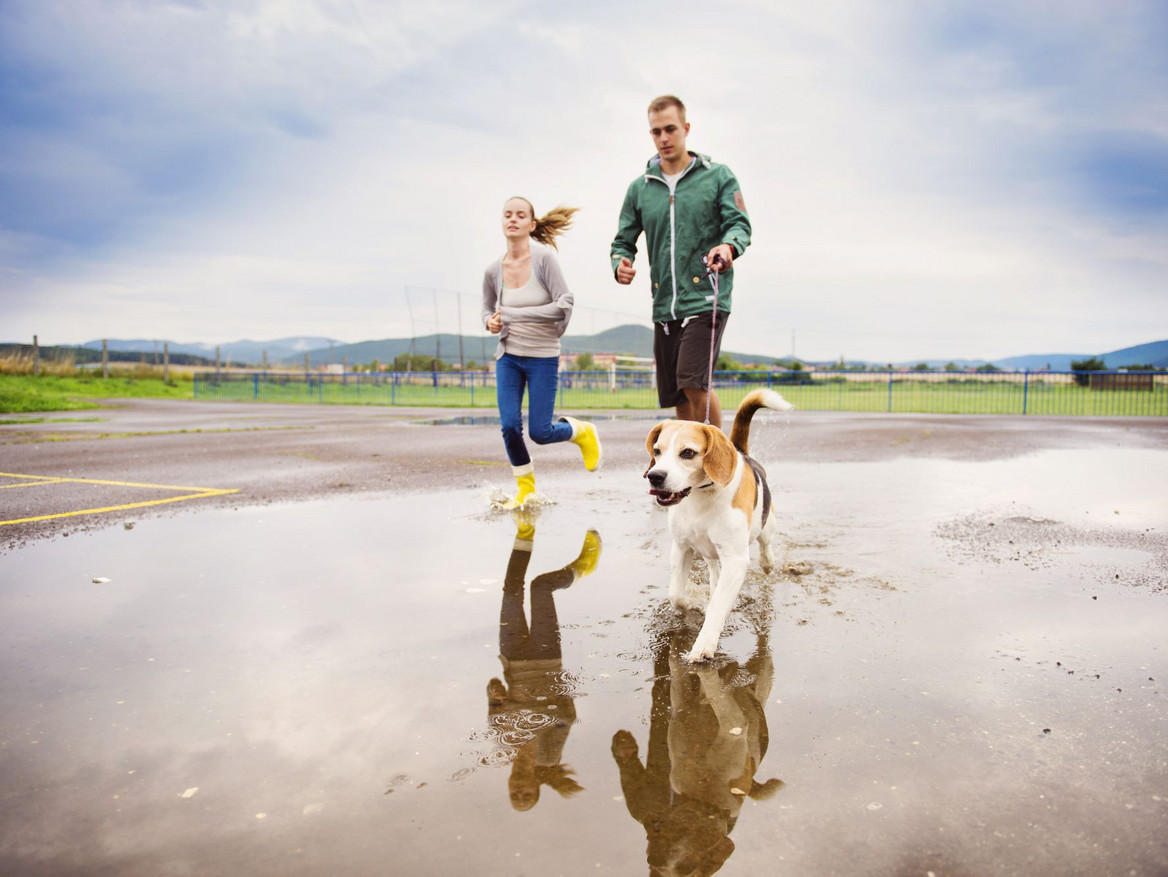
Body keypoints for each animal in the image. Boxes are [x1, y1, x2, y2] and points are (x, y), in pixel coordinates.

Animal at [644, 387, 789, 663]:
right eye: (657, 451)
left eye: (687, 453)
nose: (654, 476)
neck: (700, 495)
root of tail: (741, 452)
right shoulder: (682, 547)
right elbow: (676, 595)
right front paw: (691, 604)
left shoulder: (735, 559)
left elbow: (719, 605)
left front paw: (704, 645)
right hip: (708, 550)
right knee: (713, 567)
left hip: (767, 525)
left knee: (765, 544)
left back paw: (767, 562)